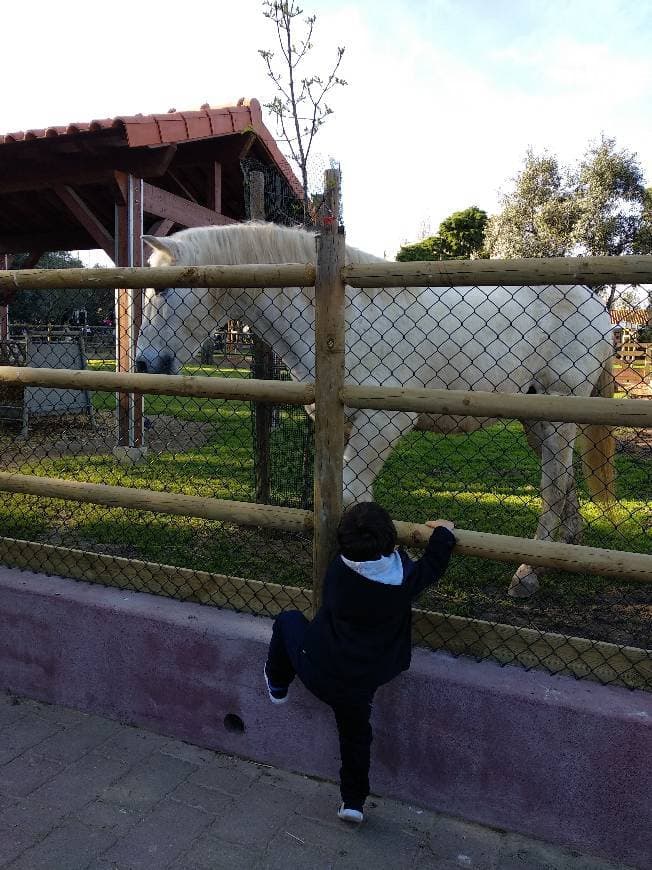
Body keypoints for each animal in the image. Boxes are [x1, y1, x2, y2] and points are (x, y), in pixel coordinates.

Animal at [135, 221, 612, 600]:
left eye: (161, 288)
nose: (142, 363)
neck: (341, 319)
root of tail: (597, 308)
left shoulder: (383, 425)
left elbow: (352, 492)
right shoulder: (343, 426)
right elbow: (348, 499)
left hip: (557, 416)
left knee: (553, 485)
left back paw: (527, 575)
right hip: (535, 420)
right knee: (562, 478)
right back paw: (566, 548)